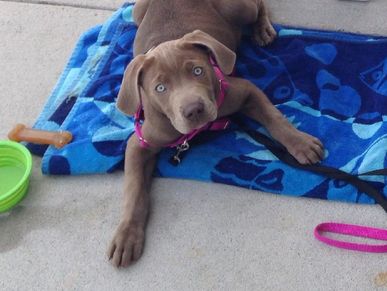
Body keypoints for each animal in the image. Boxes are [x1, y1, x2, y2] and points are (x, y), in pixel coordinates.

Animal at [107, 0, 324, 268]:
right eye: (160, 88)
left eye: (198, 71)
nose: (194, 110)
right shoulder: (140, 143)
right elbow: (134, 189)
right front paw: (127, 235)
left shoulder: (245, 90)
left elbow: (275, 118)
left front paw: (301, 143)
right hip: (138, 14)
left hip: (238, 9)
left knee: (258, 5)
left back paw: (262, 30)